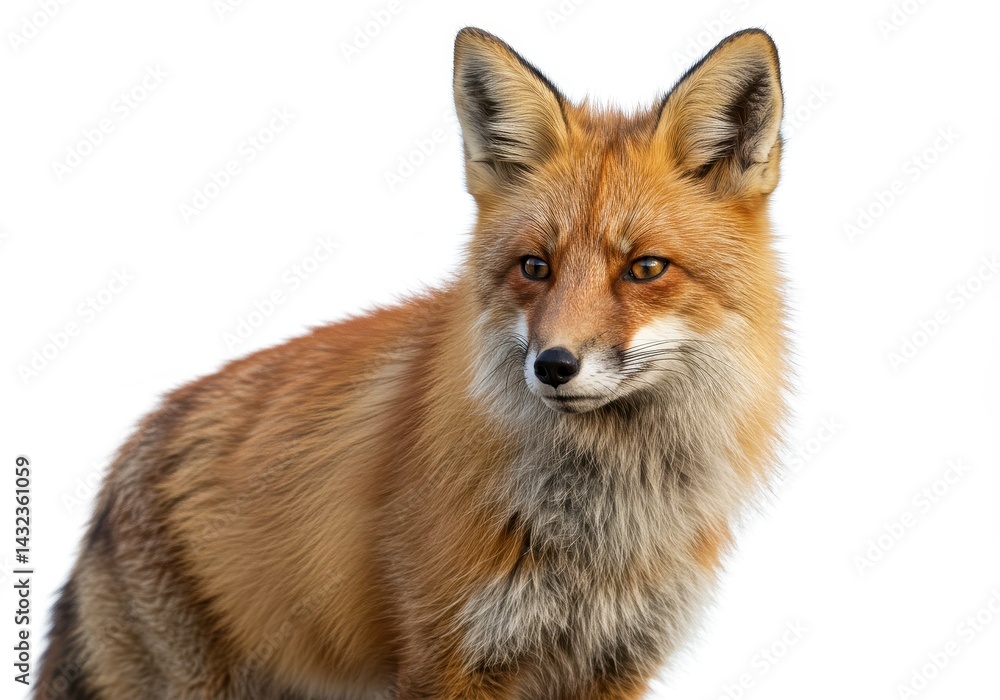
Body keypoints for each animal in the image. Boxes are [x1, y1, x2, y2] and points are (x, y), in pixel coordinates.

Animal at [37, 26, 788, 700]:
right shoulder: (444, 655)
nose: (553, 365)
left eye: (645, 268)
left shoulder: (612, 665)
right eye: (534, 267)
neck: (601, 531)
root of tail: (128, 453)